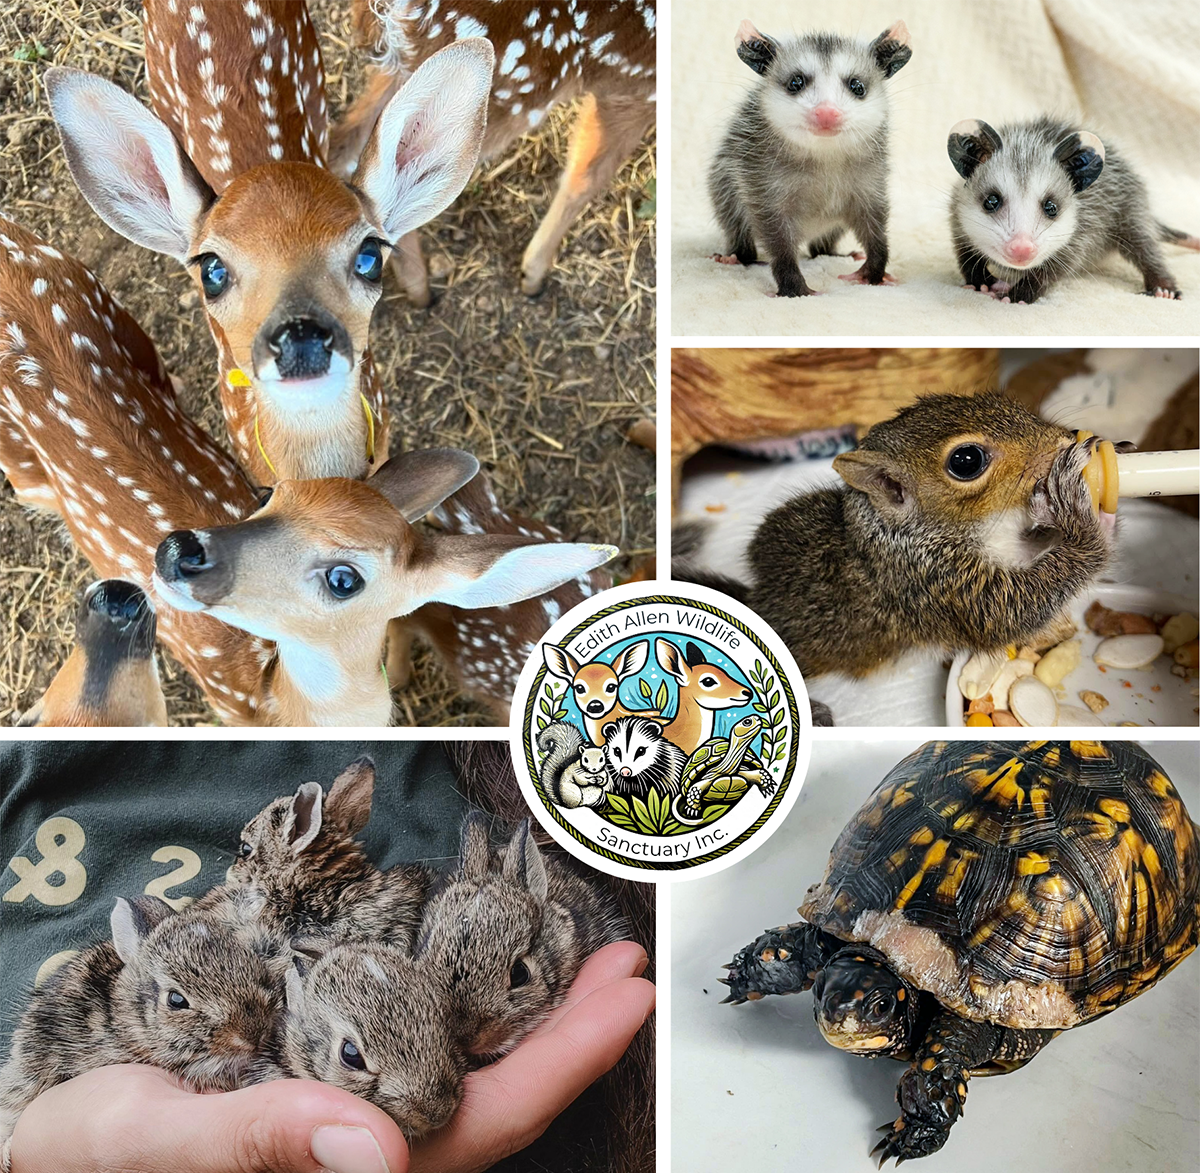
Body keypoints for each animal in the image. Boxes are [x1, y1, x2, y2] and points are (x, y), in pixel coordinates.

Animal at [332, 0, 657, 299]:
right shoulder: (633, 91)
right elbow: (587, 178)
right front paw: (532, 274)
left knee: (351, 142)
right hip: (505, 91)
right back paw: (419, 288)